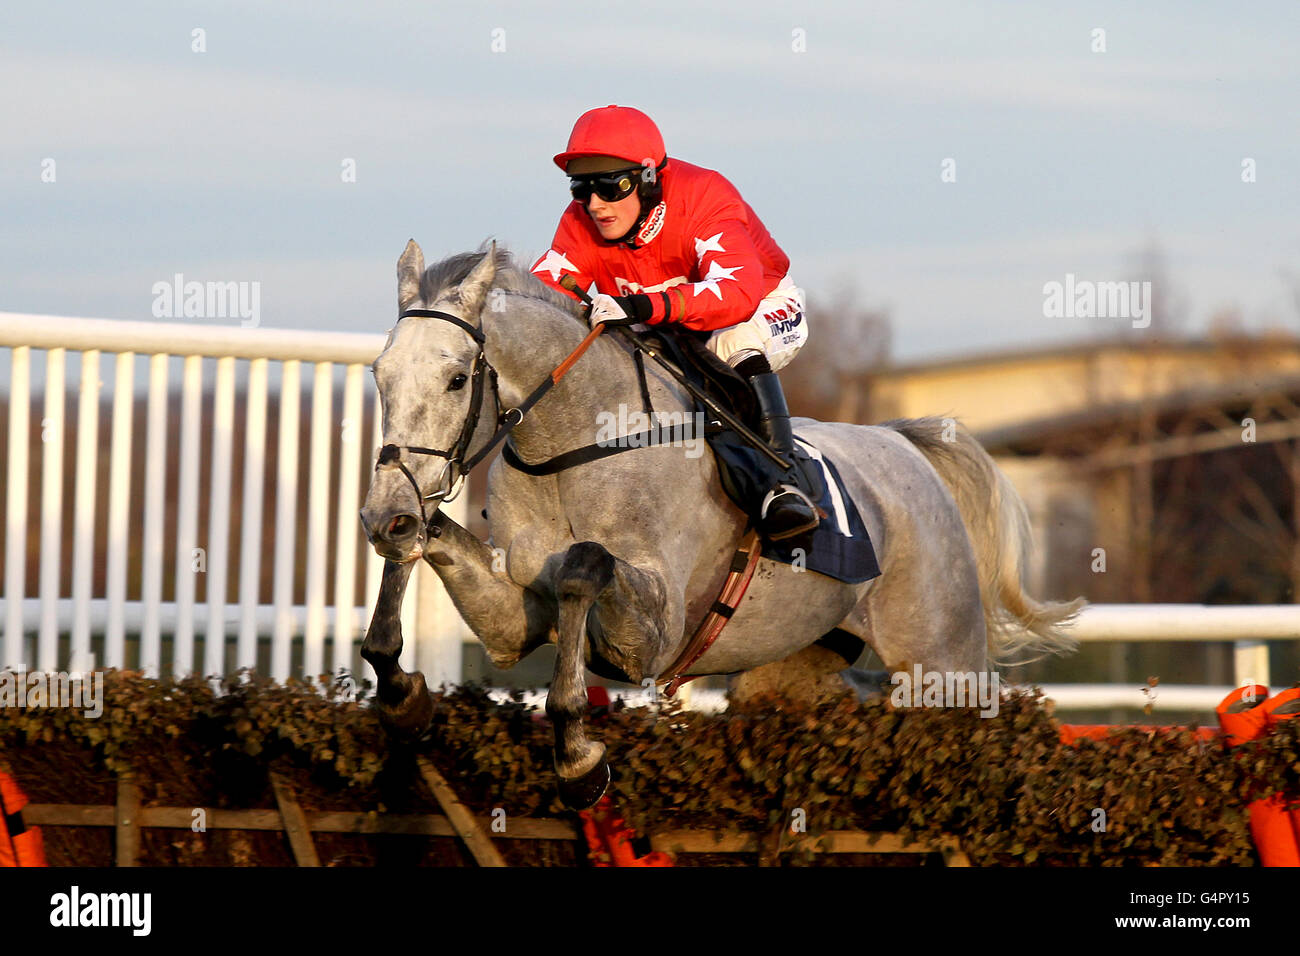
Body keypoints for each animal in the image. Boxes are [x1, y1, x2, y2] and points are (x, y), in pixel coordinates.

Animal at [361, 239, 1081, 806]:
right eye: (378, 375)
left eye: (457, 380)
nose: (382, 515)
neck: (572, 447)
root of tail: (905, 446)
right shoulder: (516, 619)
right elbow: (439, 556)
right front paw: (401, 694)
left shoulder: (655, 632)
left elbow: (585, 565)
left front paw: (577, 757)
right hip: (791, 668)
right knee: (851, 698)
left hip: (944, 666)